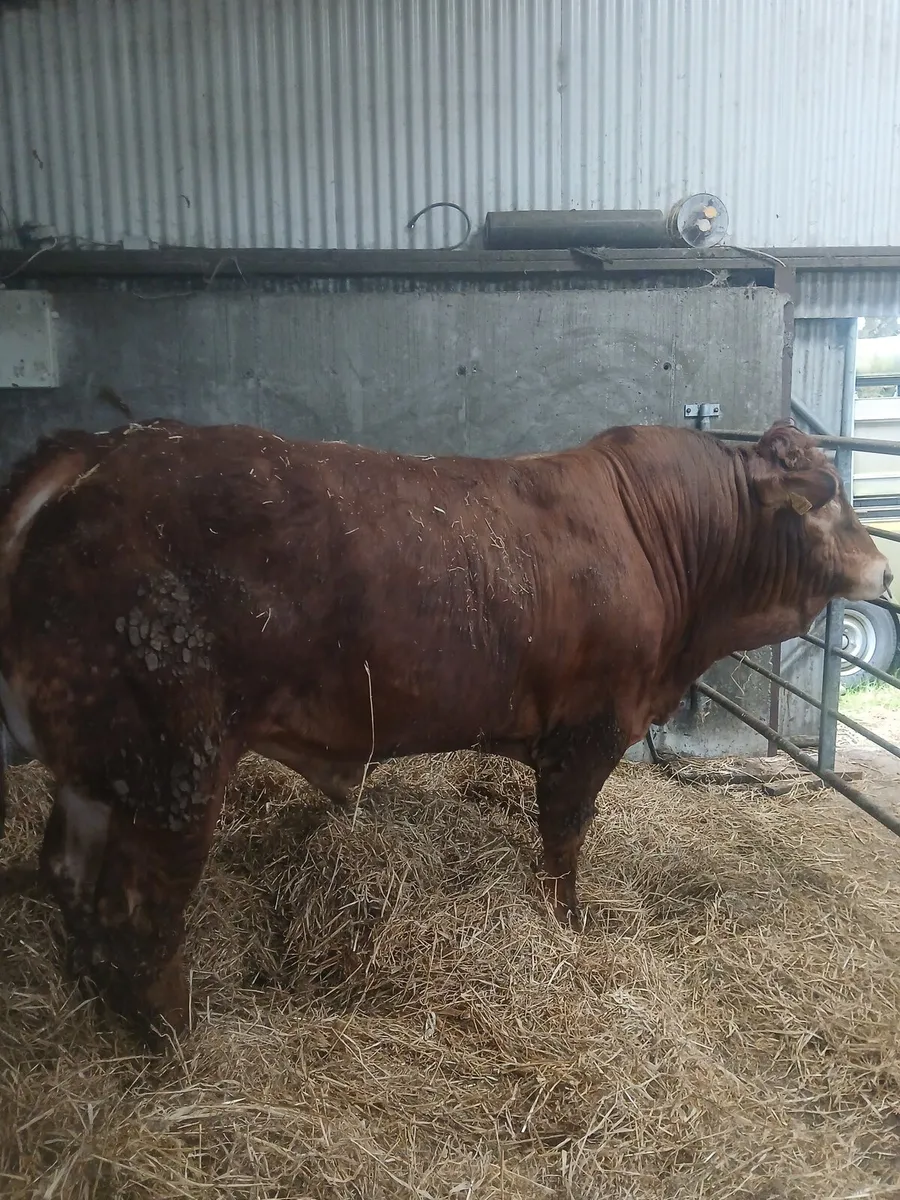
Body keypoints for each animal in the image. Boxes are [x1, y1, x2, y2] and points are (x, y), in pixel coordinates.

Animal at [0, 417, 890, 1038]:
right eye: (833, 502)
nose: (885, 571)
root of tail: (95, 450)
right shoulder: (589, 730)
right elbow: (564, 841)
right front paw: (567, 925)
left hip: (98, 768)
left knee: (69, 876)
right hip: (170, 762)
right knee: (138, 910)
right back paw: (177, 1042)